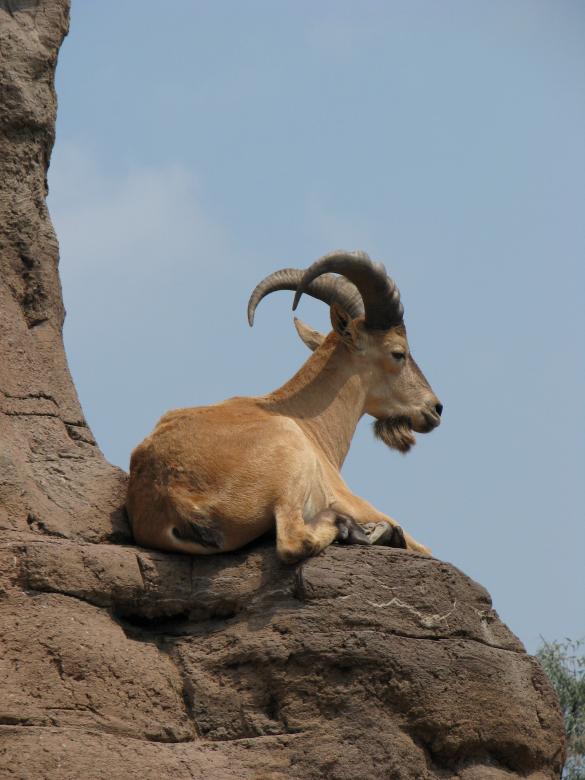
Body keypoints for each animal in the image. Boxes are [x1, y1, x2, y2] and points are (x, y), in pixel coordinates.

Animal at [126, 251, 442, 562]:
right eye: (398, 353)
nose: (435, 408)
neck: (307, 422)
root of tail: (175, 499)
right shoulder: (348, 497)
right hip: (290, 470)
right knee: (293, 541)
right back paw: (353, 528)